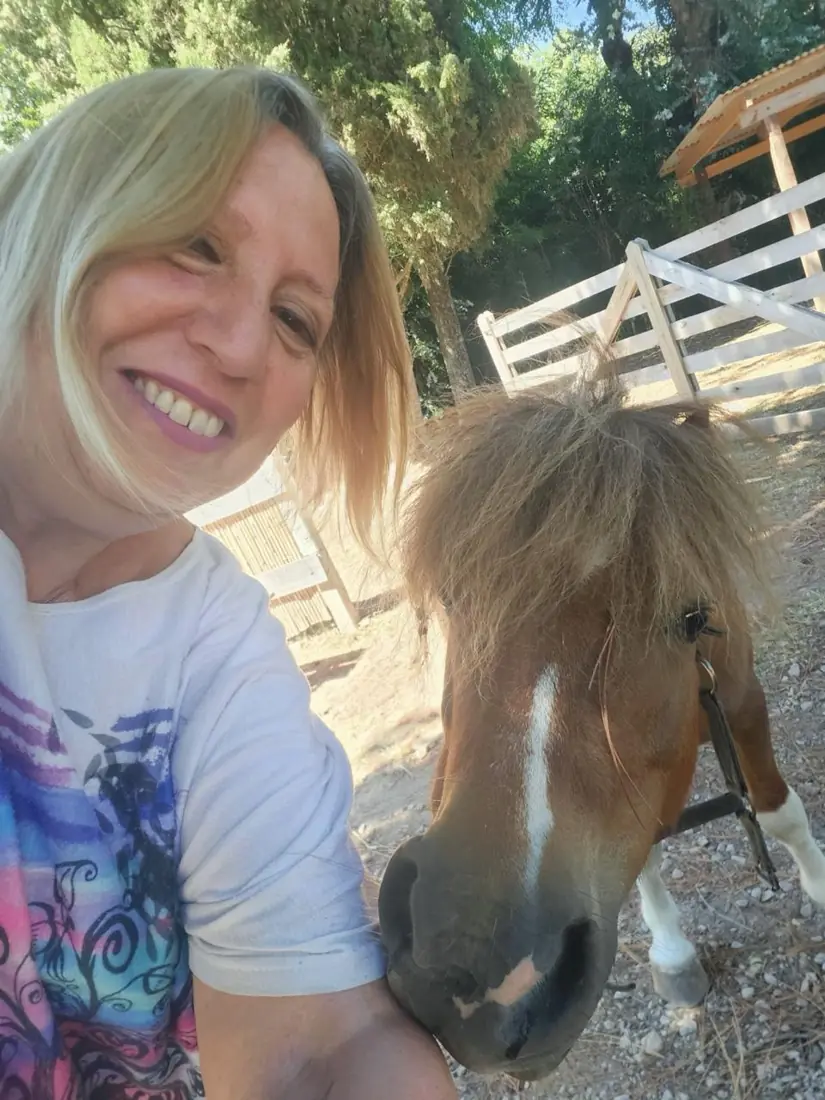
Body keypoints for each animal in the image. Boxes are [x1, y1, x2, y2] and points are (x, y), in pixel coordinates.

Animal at [377, 376, 825, 1083]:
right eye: (452, 597)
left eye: (690, 617)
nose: (470, 966)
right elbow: (642, 859)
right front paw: (673, 954)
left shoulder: (744, 703)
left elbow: (781, 814)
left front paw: (819, 887)